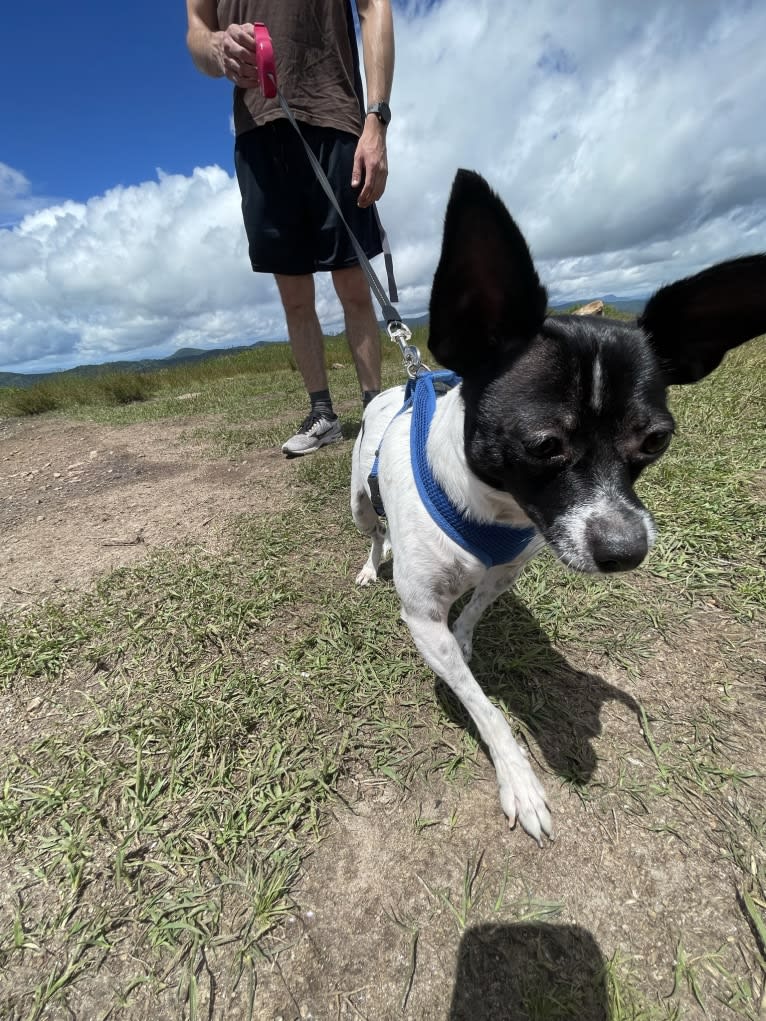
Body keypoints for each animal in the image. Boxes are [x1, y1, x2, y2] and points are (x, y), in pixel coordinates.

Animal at [353, 171, 766, 845]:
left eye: (656, 441)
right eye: (543, 444)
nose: (627, 550)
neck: (490, 510)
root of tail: (400, 384)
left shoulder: (505, 572)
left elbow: (474, 615)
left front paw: (467, 639)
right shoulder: (421, 617)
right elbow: (485, 708)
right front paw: (519, 780)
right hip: (359, 502)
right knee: (370, 528)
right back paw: (370, 562)